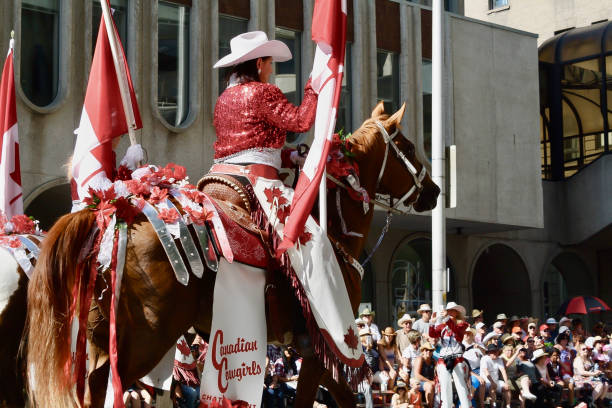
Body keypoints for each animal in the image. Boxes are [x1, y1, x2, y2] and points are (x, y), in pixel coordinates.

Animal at [25, 99, 440, 408]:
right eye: (407, 147)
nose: (434, 191)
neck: (332, 227)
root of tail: (116, 211)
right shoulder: (326, 348)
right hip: (146, 339)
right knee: (101, 386)